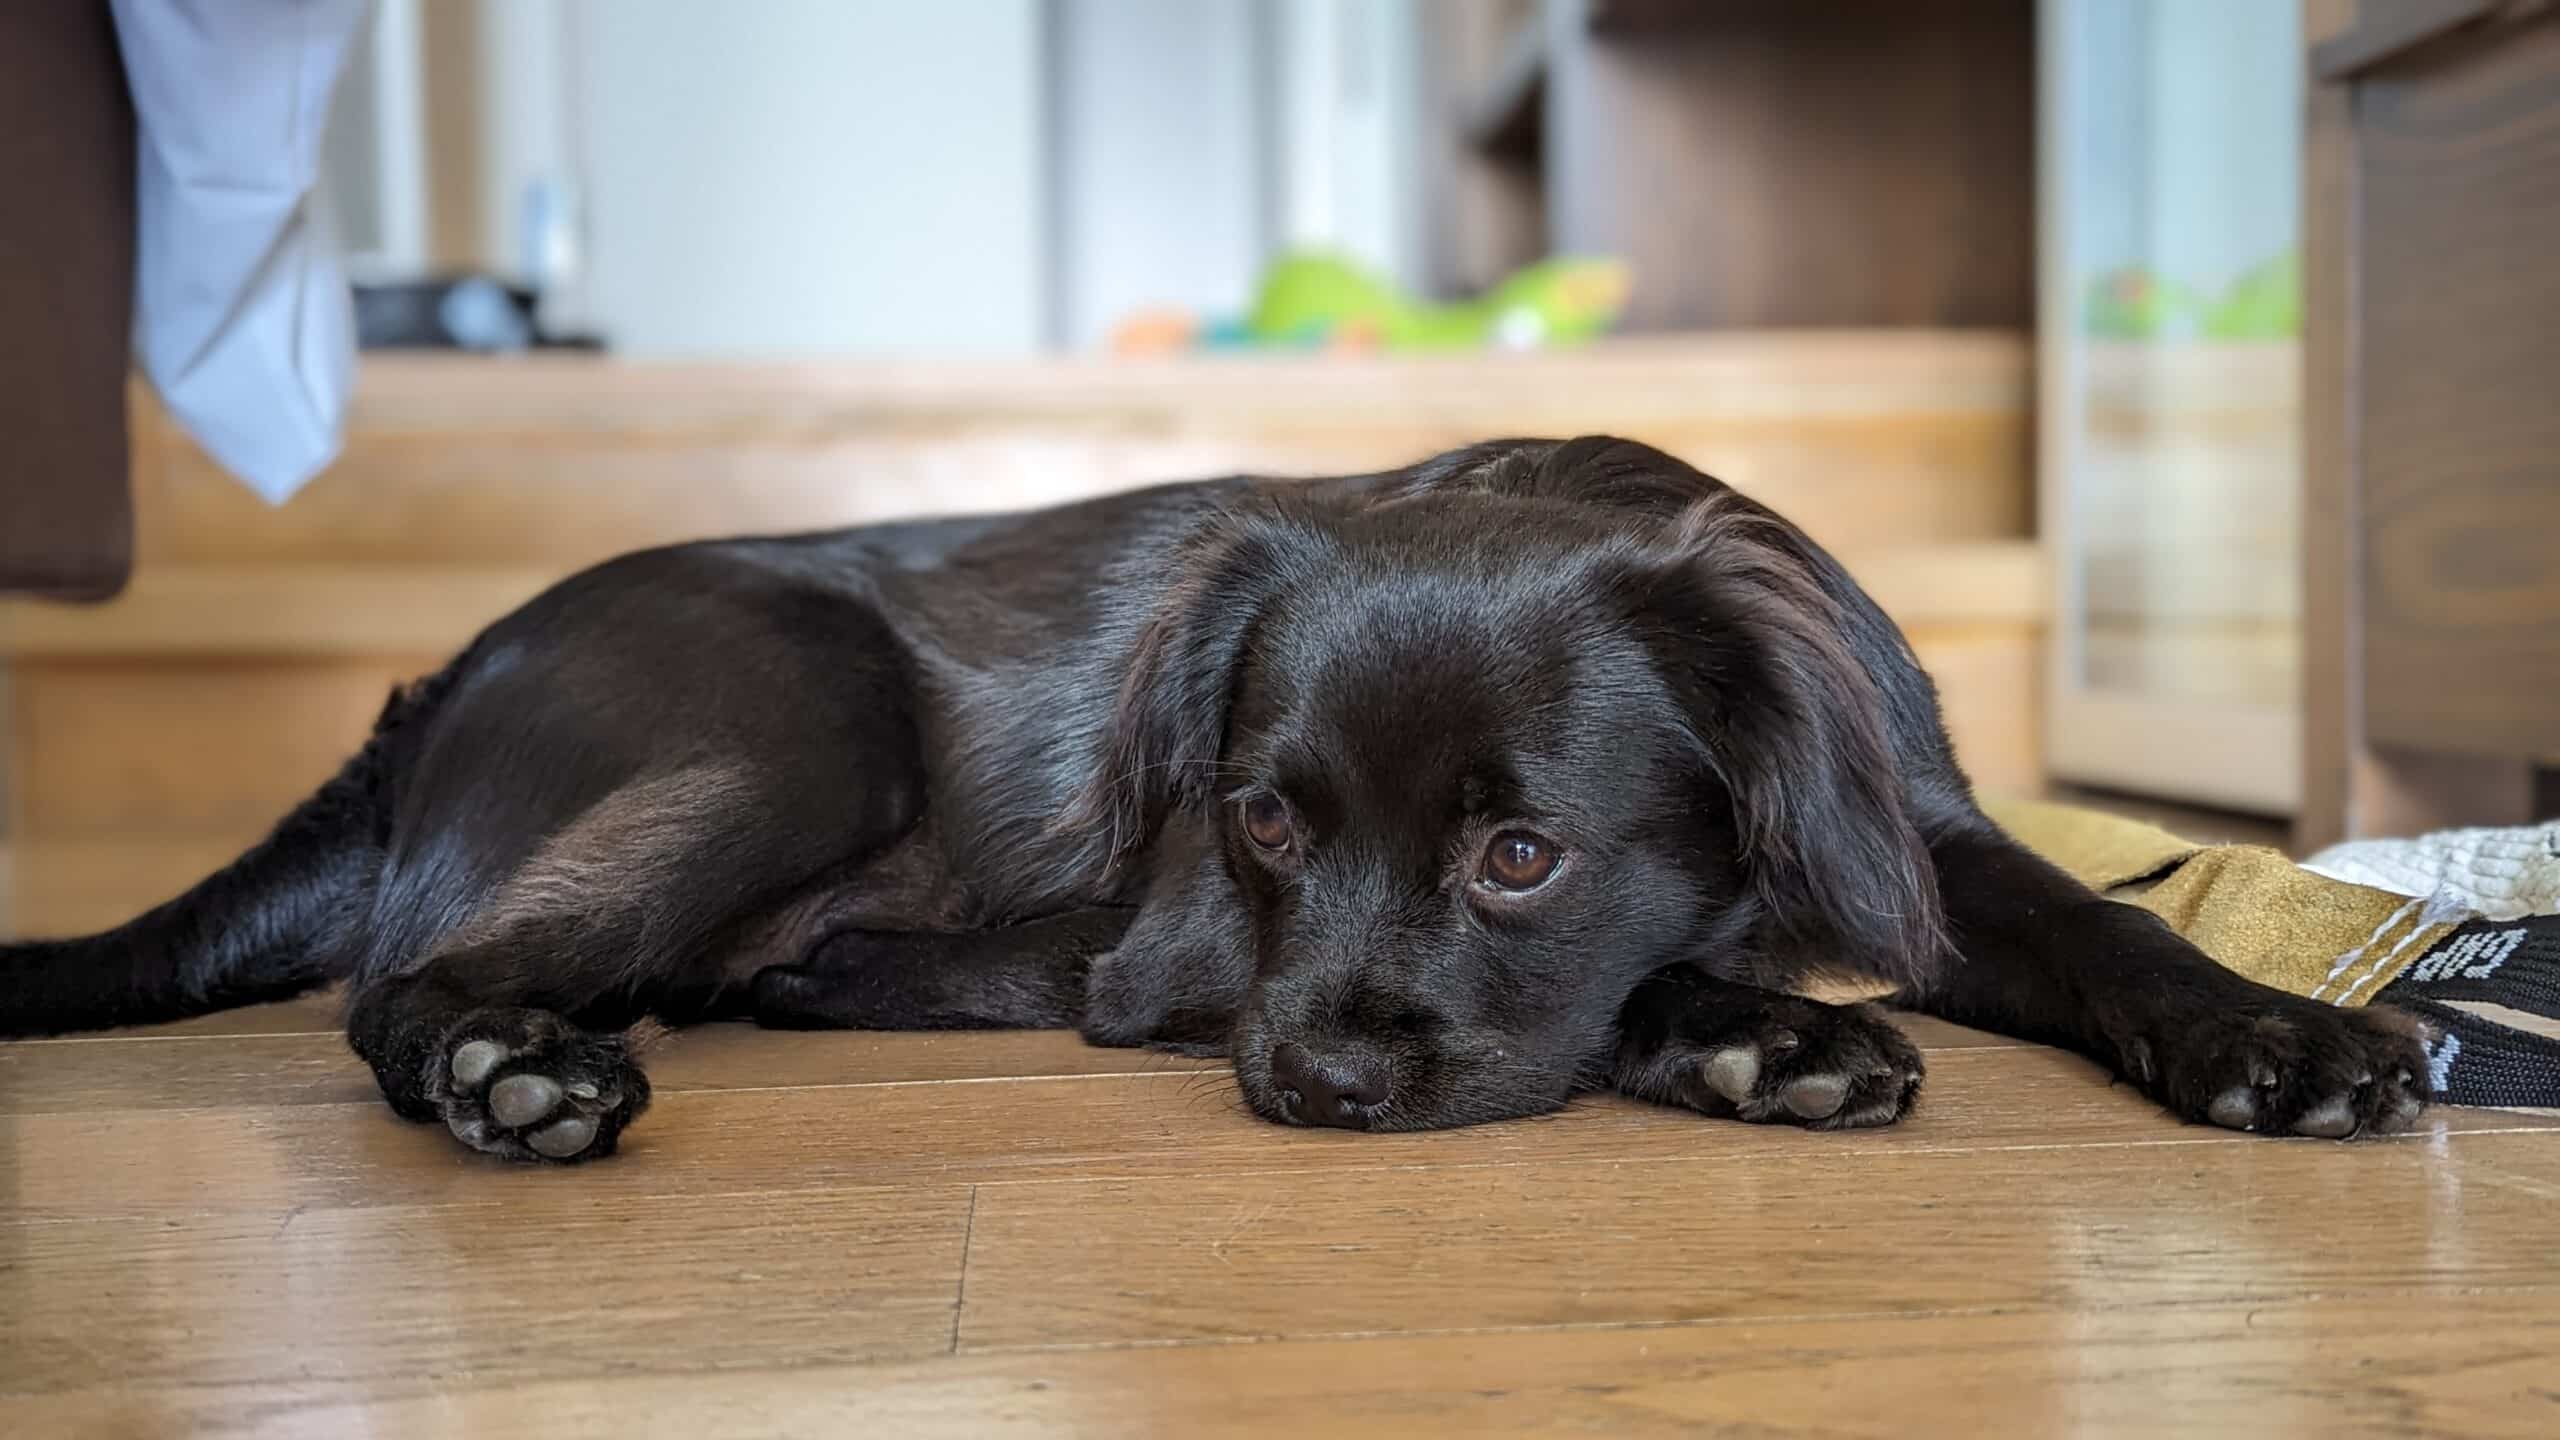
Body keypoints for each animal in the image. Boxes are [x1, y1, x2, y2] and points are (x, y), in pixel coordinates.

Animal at [0, 437, 2431, 1160]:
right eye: (1261, 825)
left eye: (1520, 851)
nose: (1320, 1092)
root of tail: (431, 694)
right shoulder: (1184, 955)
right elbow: (1648, 992)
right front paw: (1759, 1033)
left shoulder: (1921, 838)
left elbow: (2106, 918)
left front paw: (2276, 1029)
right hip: (797, 715)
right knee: (402, 984)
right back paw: (509, 1070)